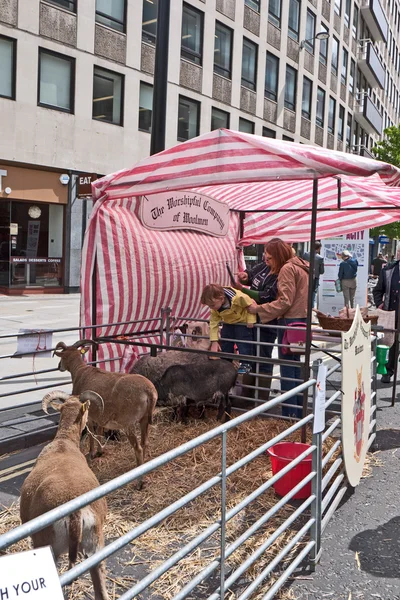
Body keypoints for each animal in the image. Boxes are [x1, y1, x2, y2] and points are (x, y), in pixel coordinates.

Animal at [52, 340, 158, 480]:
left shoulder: (88, 414)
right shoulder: (100, 416)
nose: (59, 366)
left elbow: (91, 432)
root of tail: (149, 391)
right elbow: (100, 432)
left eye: (62, 356)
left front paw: (91, 453)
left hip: (128, 423)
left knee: (138, 447)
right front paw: (99, 451)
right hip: (144, 419)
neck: (80, 371)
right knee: (145, 442)